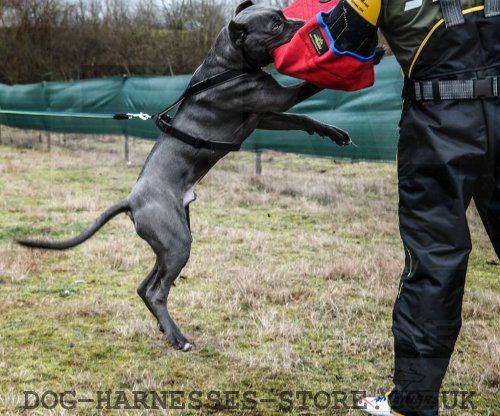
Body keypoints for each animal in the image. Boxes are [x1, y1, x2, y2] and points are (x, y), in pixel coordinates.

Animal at [18, 0, 352, 352]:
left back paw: (166, 329)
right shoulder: (272, 100)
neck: (226, 64)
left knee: (144, 287)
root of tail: (132, 200)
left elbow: (302, 119)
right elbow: (309, 86)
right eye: (275, 25)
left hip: (167, 247)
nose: (302, 24)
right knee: (156, 291)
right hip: (177, 243)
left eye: (283, 15)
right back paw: (178, 338)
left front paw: (333, 132)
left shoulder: (265, 114)